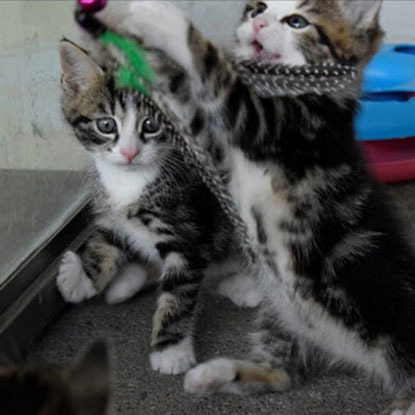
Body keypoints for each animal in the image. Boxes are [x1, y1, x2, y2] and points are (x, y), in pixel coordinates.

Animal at [56, 41, 258, 376]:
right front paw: (82, 277)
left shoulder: (188, 232)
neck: (130, 180)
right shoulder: (111, 212)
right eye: (106, 124)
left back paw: (245, 286)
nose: (129, 152)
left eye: (150, 125)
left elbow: (179, 292)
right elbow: (104, 240)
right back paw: (124, 283)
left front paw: (170, 350)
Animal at [95, 0, 415, 415]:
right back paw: (211, 375)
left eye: (297, 21)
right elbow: (191, 101)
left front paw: (162, 19)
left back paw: (405, 404)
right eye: (256, 9)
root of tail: (350, 354)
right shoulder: (214, 149)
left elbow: (217, 73)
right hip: (284, 318)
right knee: (280, 375)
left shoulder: (284, 125)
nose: (258, 23)